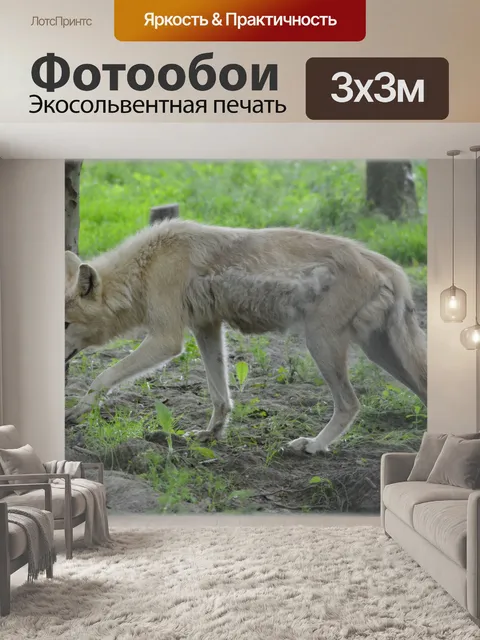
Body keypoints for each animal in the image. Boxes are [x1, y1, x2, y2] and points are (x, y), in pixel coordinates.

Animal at [65, 219, 427, 454]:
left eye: (65, 323)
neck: (146, 266)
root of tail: (391, 268)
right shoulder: (207, 329)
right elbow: (220, 396)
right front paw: (210, 434)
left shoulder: (167, 340)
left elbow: (103, 376)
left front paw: (77, 411)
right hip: (380, 353)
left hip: (322, 344)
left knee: (351, 404)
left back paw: (313, 446)